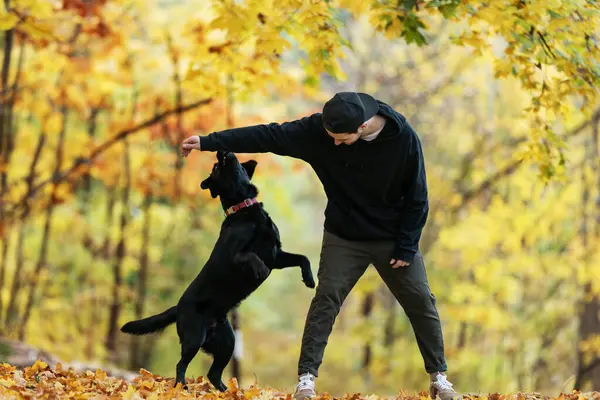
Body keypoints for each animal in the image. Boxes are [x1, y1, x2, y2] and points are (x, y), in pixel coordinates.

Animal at [120, 150, 316, 390]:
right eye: (215, 167)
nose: (222, 151)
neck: (245, 209)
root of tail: (178, 307)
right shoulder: (237, 254)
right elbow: (250, 256)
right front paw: (260, 269)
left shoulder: (276, 255)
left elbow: (302, 258)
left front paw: (309, 278)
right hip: (194, 338)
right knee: (181, 365)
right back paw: (182, 387)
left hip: (227, 343)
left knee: (213, 373)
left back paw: (228, 392)